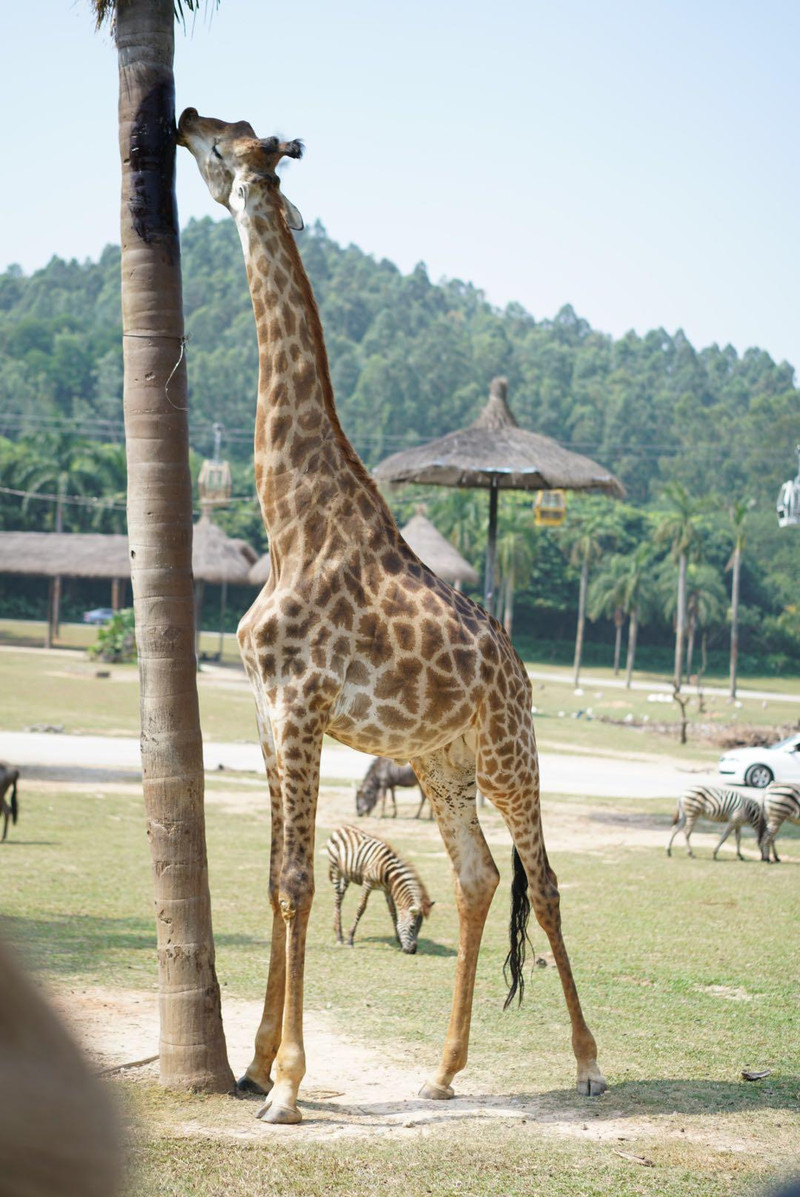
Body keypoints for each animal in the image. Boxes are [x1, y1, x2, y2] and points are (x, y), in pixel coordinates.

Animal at [323, 823, 431, 952]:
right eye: (412, 926)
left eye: (420, 927)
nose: (412, 951)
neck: (388, 873)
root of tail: (342, 827)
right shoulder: (367, 883)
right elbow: (361, 908)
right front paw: (350, 938)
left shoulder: (387, 890)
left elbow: (393, 911)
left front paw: (399, 940)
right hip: (336, 870)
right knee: (337, 900)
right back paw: (339, 936)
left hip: (346, 875)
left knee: (340, 899)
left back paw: (336, 929)